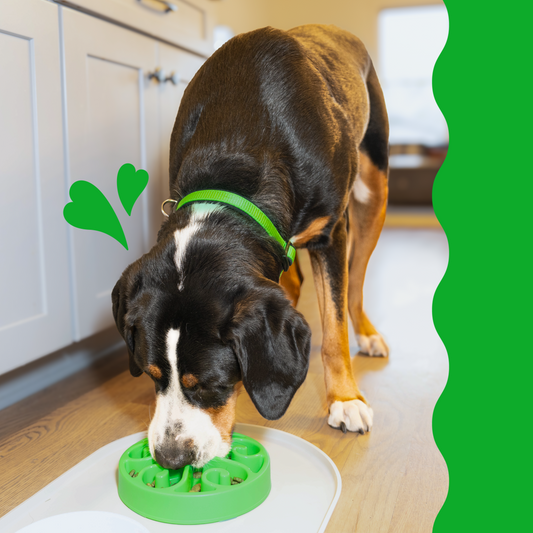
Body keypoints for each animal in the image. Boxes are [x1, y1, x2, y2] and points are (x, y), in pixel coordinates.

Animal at [111, 25, 386, 468]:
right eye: (151, 375)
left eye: (210, 384)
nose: (170, 459)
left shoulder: (330, 233)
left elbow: (333, 329)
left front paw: (345, 399)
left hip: (373, 187)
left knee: (356, 281)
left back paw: (366, 333)